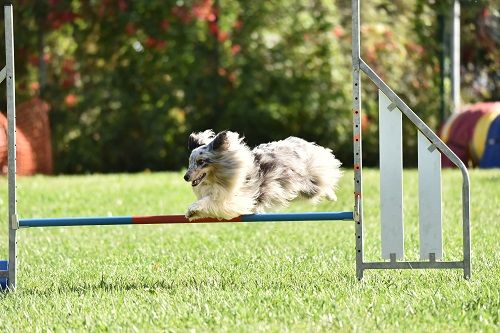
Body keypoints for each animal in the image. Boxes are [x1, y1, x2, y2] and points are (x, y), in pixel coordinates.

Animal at [184, 130, 344, 220]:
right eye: (189, 161)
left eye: (201, 161)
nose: (185, 177)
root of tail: (301, 142)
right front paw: (193, 213)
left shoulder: (237, 198)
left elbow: (212, 201)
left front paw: (192, 209)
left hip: (308, 181)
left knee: (322, 184)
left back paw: (332, 197)